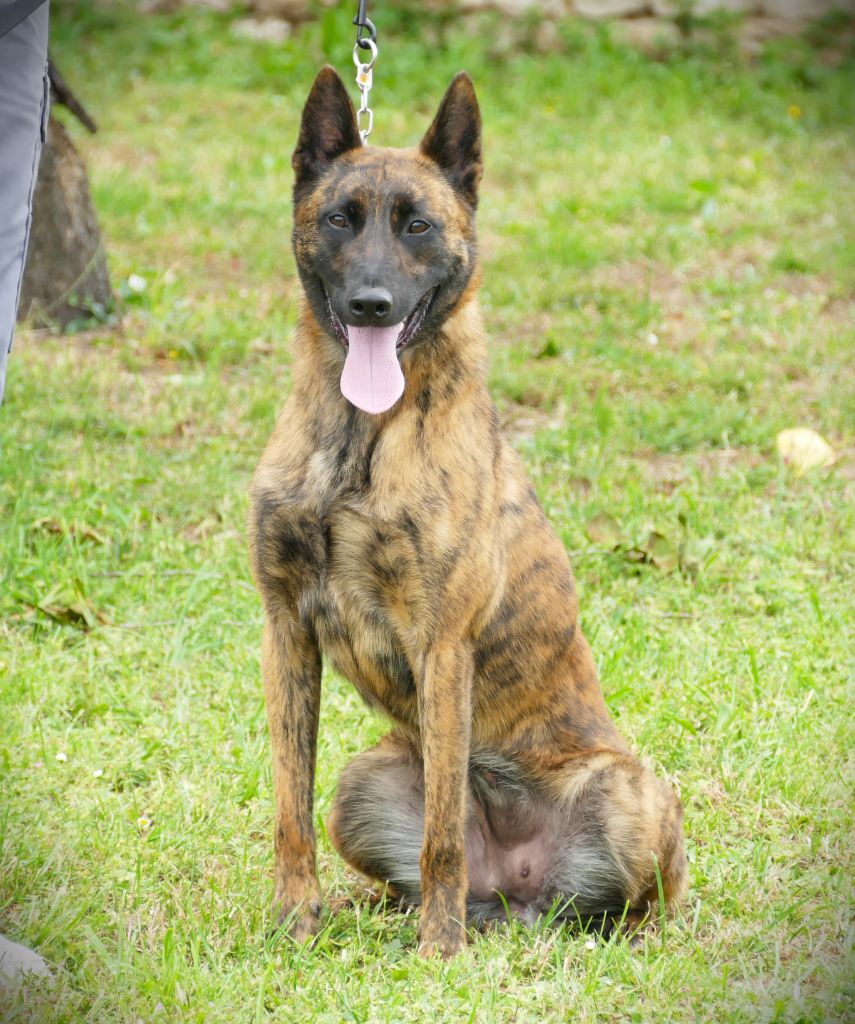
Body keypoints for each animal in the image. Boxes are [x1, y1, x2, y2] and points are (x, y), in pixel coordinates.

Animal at [248, 68, 688, 954]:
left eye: (417, 224)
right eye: (340, 219)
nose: (371, 304)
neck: (361, 438)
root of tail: (518, 895)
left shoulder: (442, 644)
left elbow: (443, 834)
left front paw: (437, 953)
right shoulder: (286, 631)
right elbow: (289, 808)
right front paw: (295, 917)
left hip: (630, 793)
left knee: (637, 897)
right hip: (366, 778)